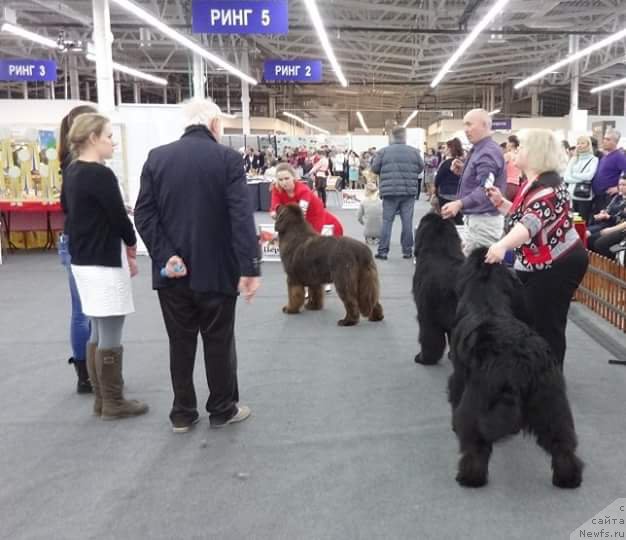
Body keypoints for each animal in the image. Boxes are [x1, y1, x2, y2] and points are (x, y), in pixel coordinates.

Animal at [446, 249, 576, 490]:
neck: (486, 300)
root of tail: (519, 361)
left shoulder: (459, 377)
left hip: (477, 398)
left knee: (476, 443)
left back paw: (470, 477)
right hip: (551, 401)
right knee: (562, 442)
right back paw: (568, 477)